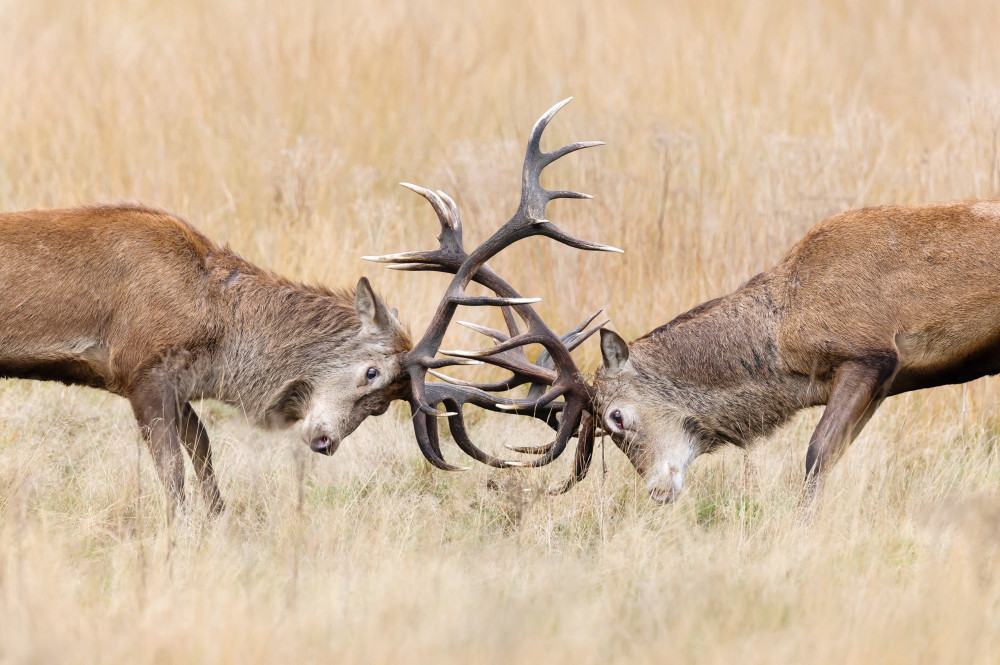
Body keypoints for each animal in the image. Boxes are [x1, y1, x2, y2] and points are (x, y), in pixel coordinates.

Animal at [0, 204, 414, 520]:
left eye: (381, 408)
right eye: (371, 372)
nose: (326, 442)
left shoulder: (177, 385)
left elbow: (202, 447)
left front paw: (218, 520)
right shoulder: (142, 373)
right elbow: (171, 467)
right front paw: (178, 533)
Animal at [372, 98, 1000, 504]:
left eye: (617, 417)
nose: (656, 491)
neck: (786, 333)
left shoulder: (870, 351)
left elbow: (816, 457)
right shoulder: (882, 377)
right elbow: (832, 456)